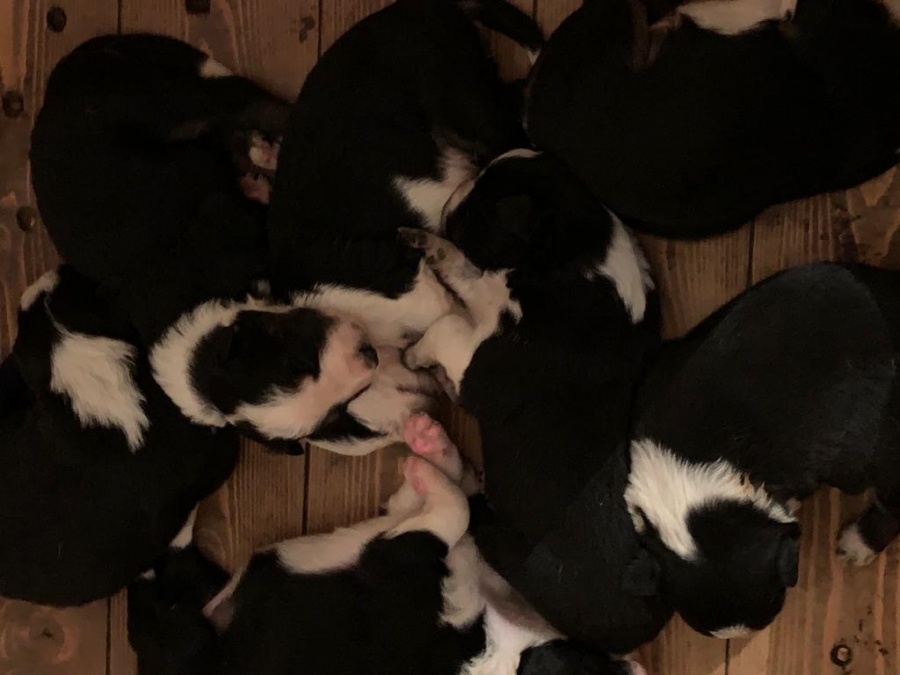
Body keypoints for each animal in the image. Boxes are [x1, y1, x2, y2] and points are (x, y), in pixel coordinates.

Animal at [30, 34, 436, 456]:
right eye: (339, 409)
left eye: (301, 362)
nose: (368, 353)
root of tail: (61, 76)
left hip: (176, 101)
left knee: (255, 108)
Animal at [128, 413, 645, 675]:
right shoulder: (404, 534)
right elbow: (455, 496)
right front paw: (430, 444)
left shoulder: (397, 557)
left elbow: (451, 508)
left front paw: (425, 462)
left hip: (186, 640)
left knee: (160, 591)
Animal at [401, 151, 669, 653]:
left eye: (476, 213)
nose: (448, 203)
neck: (575, 254)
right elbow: (468, 277)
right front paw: (431, 246)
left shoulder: (481, 364)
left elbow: (445, 326)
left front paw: (415, 355)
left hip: (508, 545)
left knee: (467, 502)